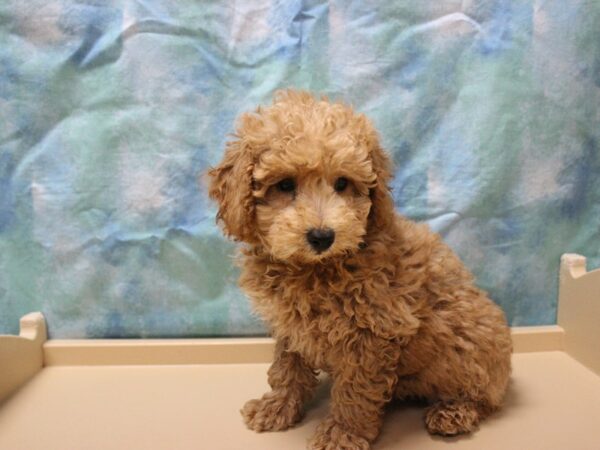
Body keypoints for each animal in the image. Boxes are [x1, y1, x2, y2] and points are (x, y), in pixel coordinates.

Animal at [206, 89, 510, 448]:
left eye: (342, 183)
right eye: (285, 185)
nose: (322, 236)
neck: (317, 268)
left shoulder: (374, 332)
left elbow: (356, 390)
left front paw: (342, 432)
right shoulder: (290, 326)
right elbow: (287, 367)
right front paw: (278, 407)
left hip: (468, 350)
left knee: (483, 395)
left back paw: (453, 412)